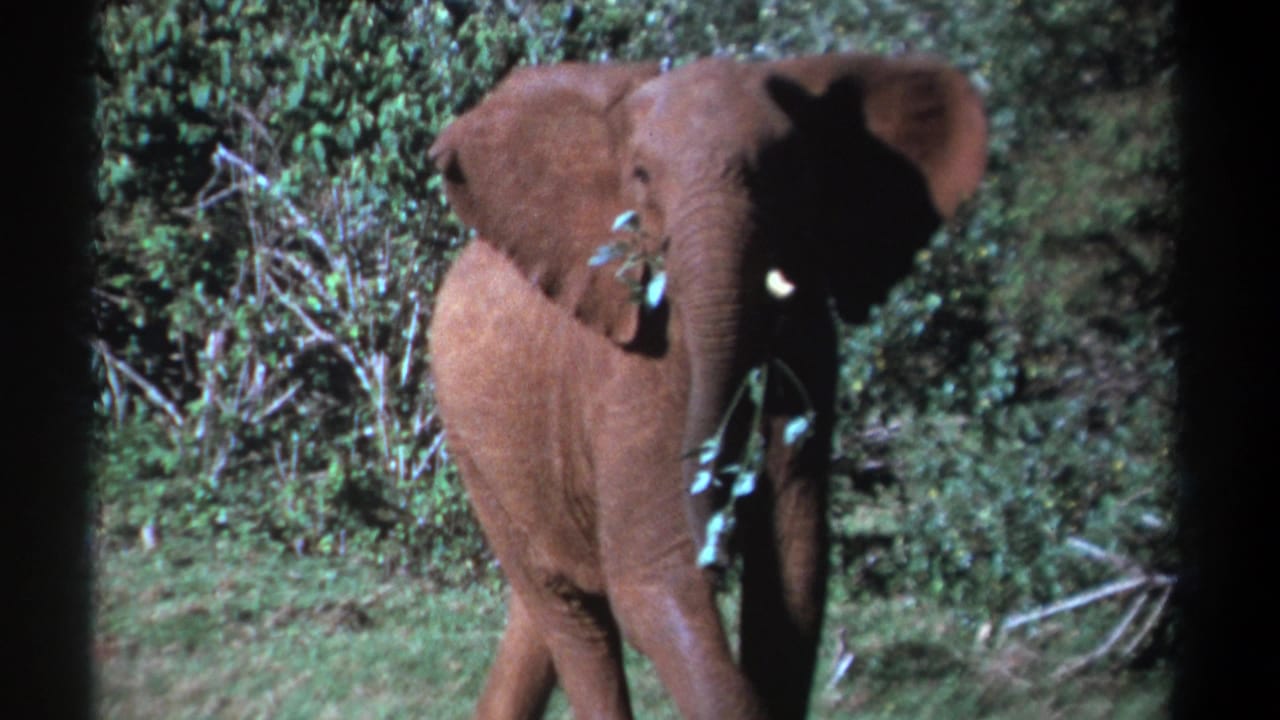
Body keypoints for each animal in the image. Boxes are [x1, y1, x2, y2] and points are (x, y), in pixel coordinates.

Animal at [427, 52, 986, 719]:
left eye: (784, 169)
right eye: (641, 175)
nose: (717, 551)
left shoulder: (811, 341)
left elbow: (793, 566)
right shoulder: (636, 358)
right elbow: (655, 583)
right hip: (472, 446)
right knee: (573, 615)